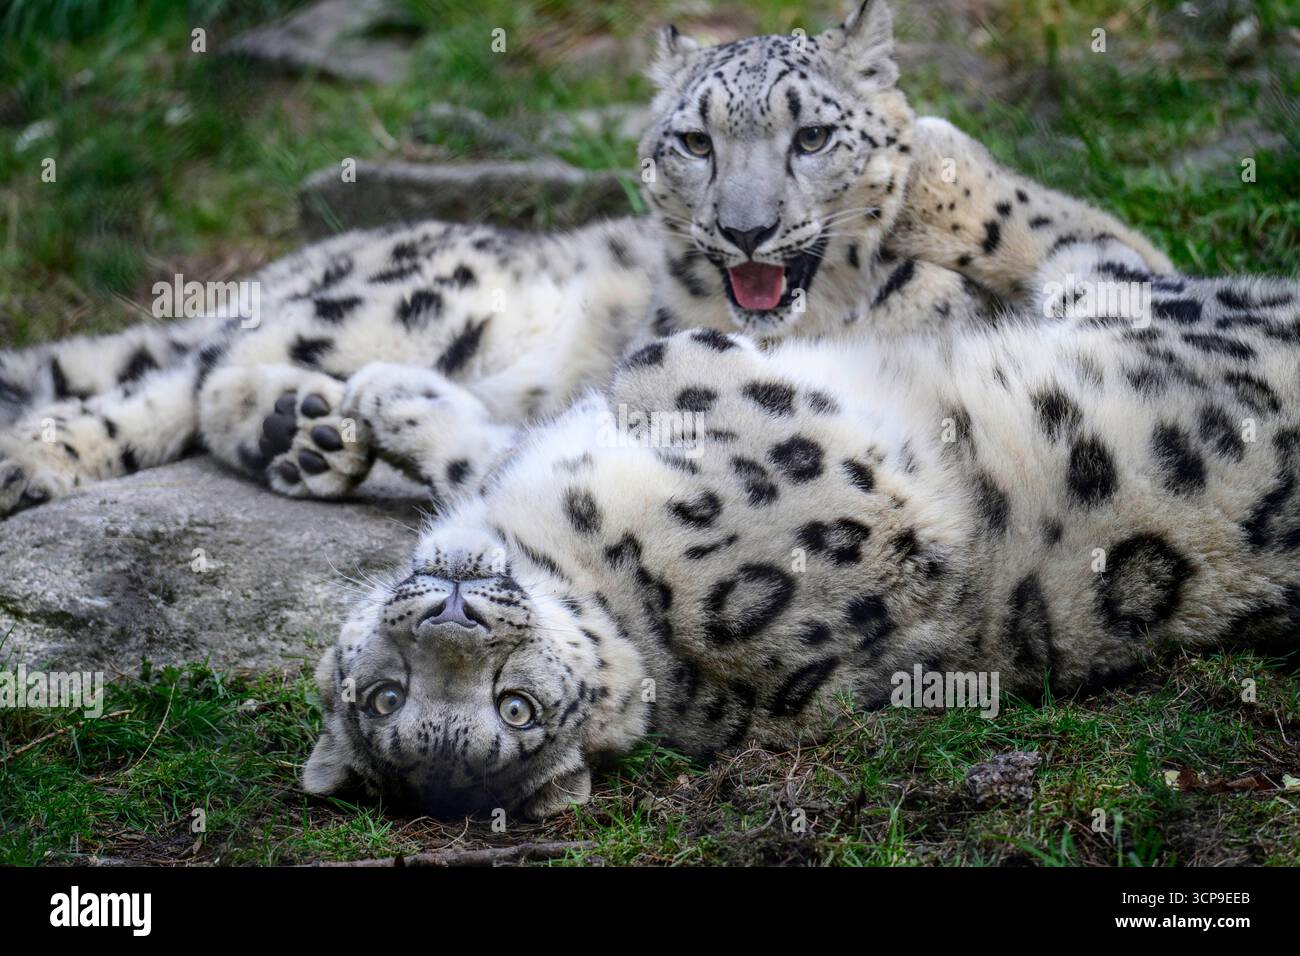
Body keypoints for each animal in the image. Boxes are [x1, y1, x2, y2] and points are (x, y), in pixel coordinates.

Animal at [0, 0, 1170, 518]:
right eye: (694, 140)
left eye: (810, 135)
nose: (748, 228)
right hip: (418, 294)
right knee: (185, 376)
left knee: (208, 378)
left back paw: (307, 435)